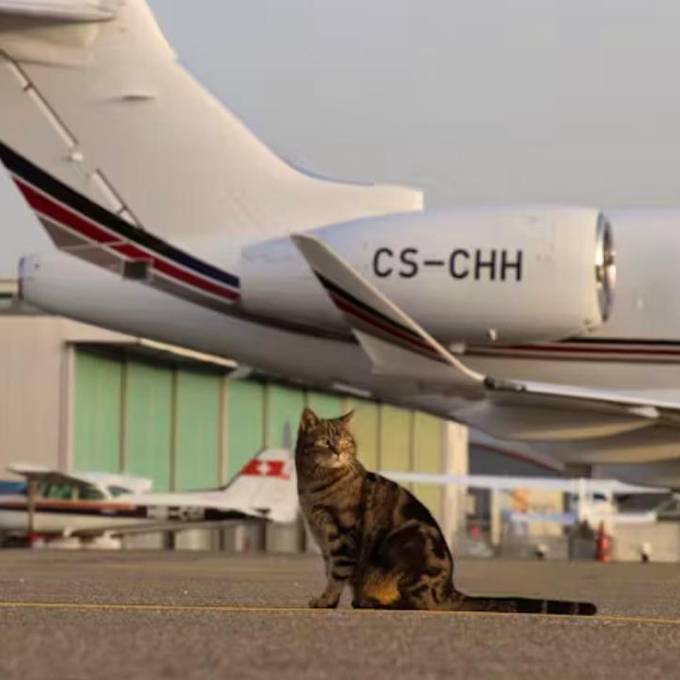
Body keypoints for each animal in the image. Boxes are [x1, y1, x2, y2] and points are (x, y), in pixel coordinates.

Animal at [294, 410, 596, 616]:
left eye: (346, 443)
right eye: (324, 442)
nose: (338, 452)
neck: (312, 485)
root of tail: (448, 587)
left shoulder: (343, 536)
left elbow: (337, 574)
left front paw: (326, 601)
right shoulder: (324, 538)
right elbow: (333, 571)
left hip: (404, 545)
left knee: (419, 604)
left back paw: (376, 602)